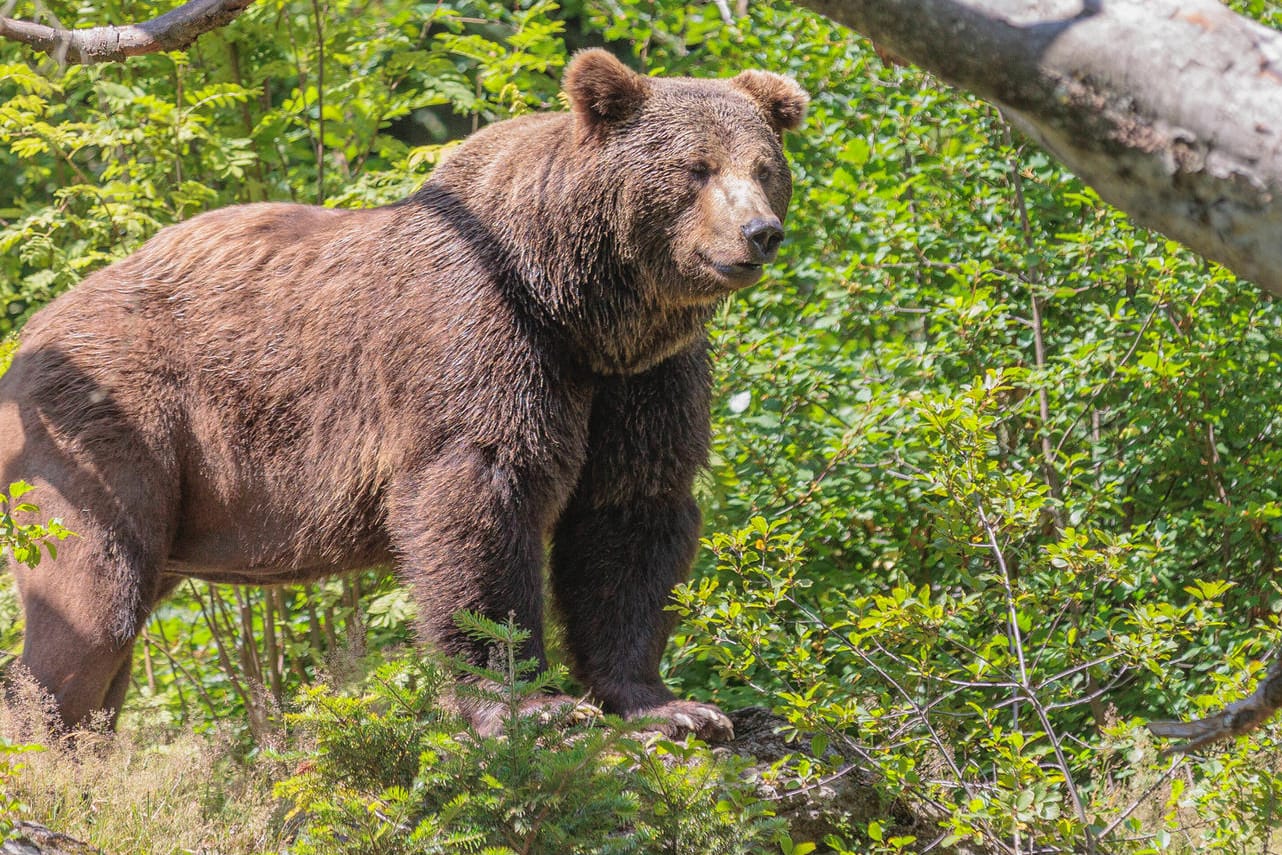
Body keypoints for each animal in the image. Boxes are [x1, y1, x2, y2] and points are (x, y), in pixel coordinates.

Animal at [0, 48, 799, 743]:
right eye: (696, 168)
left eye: (765, 168)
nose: (759, 232)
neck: (578, 304)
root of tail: (31, 331)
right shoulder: (483, 332)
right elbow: (478, 495)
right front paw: (530, 704)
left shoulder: (641, 379)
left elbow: (629, 511)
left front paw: (674, 707)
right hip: (114, 427)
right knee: (93, 603)